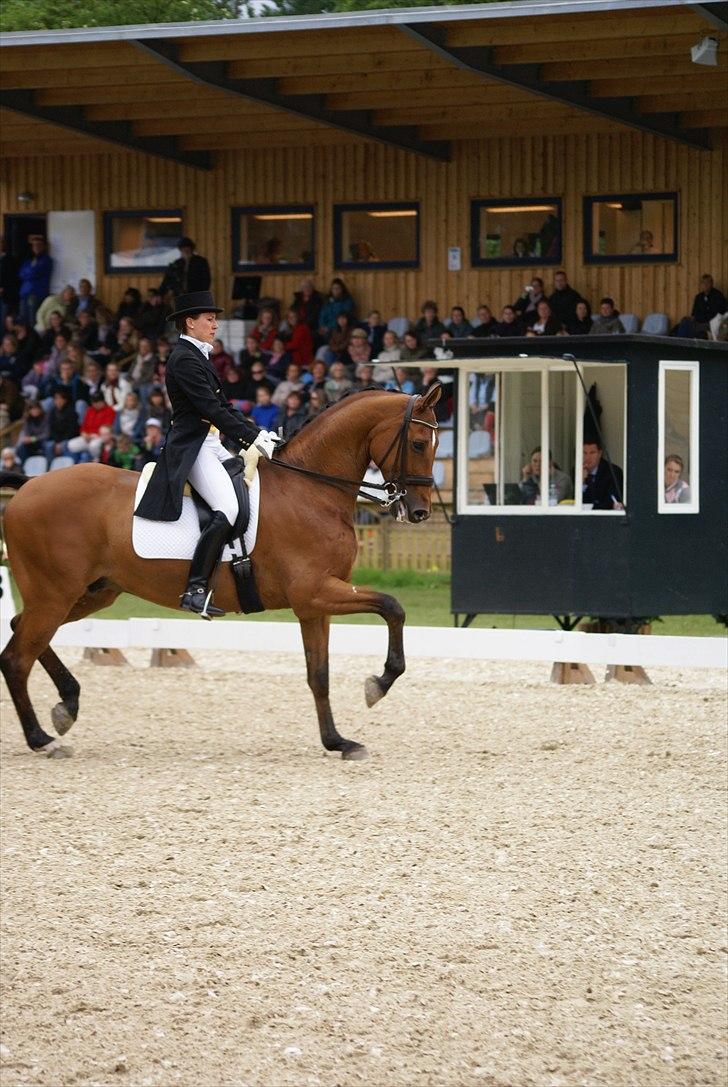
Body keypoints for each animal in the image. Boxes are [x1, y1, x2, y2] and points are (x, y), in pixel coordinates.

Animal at [0, 386, 441, 760]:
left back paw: (67, 705)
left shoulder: (315, 604)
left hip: (91, 593)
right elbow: (392, 607)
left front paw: (337, 741)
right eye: (419, 443)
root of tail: (29, 485)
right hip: (56, 595)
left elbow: (319, 673)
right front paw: (379, 683)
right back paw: (42, 739)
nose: (420, 511)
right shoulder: (315, 591)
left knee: (22, 630)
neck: (311, 490)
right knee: (18, 657)